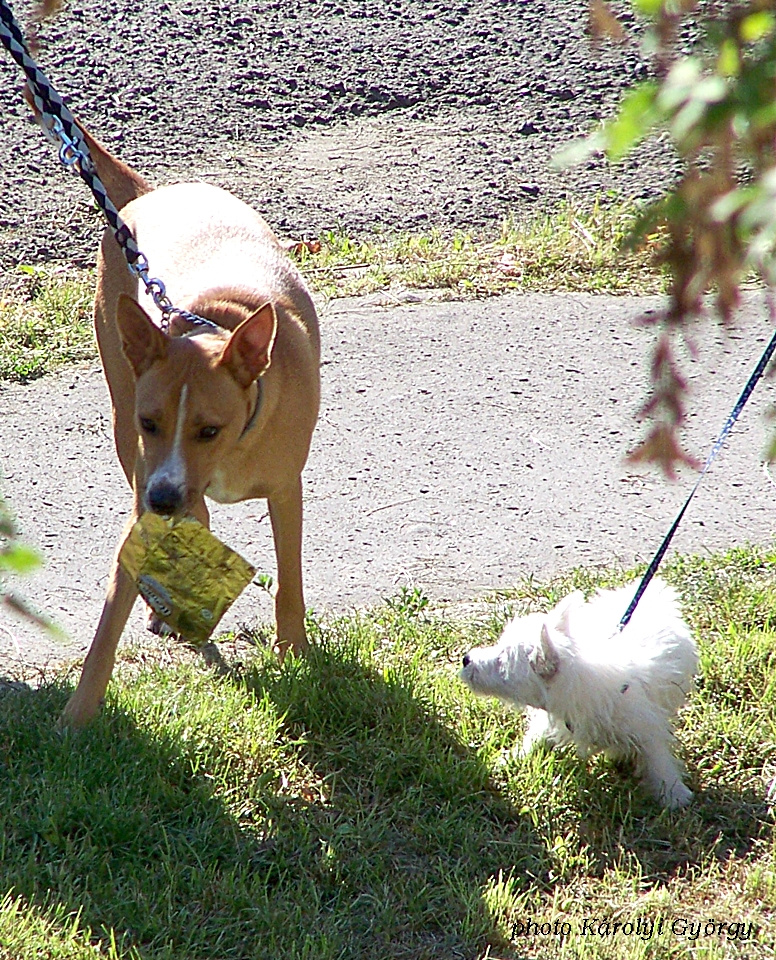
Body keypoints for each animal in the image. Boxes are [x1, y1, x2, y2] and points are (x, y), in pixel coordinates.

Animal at [56, 122, 318, 728]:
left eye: (209, 430)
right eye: (151, 422)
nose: (163, 498)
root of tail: (150, 194)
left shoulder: (286, 488)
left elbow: (289, 580)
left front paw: (293, 651)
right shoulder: (142, 488)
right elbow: (110, 615)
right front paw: (79, 713)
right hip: (119, 405)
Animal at [460, 576, 696, 808]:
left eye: (502, 661)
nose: (466, 659)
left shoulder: (646, 729)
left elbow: (658, 760)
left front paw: (675, 795)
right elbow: (535, 737)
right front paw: (510, 758)